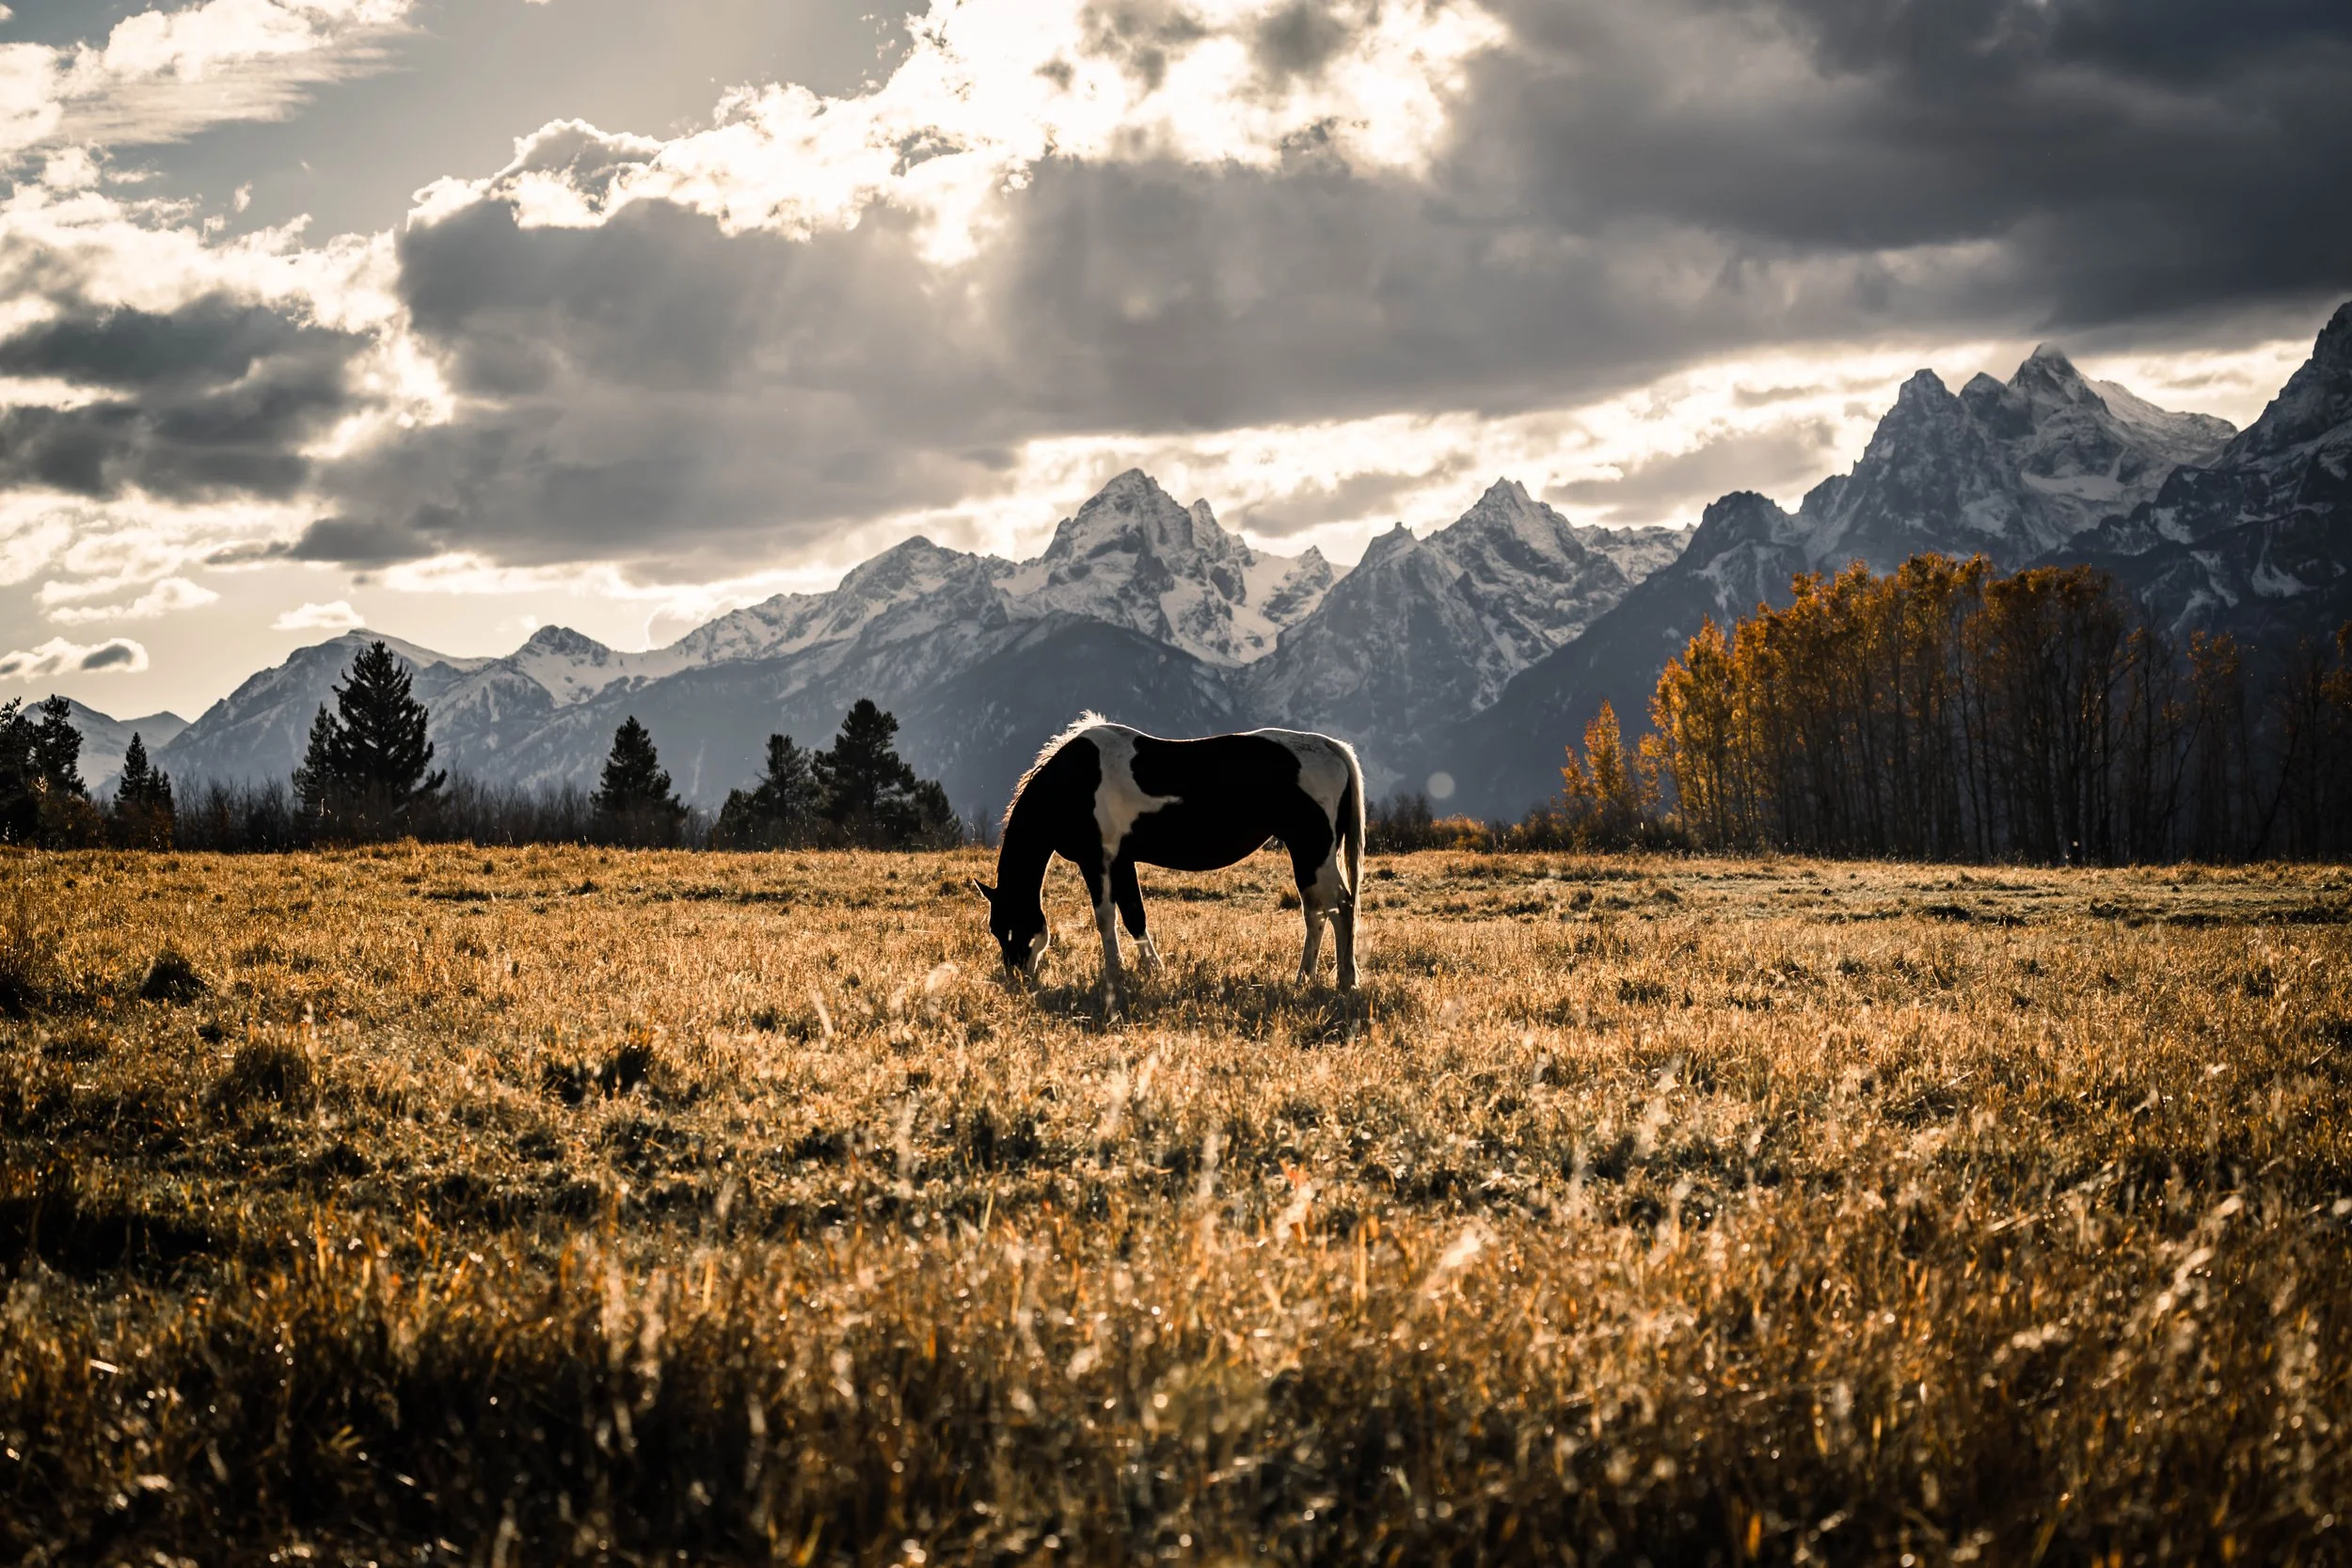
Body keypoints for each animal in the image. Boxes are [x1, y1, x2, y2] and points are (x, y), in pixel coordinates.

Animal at [973, 713, 1366, 997]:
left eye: (1006, 926)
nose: (1017, 978)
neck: (1074, 781)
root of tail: (1330, 746)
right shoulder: (1121, 860)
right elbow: (1134, 915)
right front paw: (1152, 971)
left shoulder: (1096, 860)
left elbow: (1105, 917)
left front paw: (1114, 975)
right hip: (1306, 854)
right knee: (1316, 912)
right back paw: (1304, 979)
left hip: (1315, 851)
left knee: (1341, 906)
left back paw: (1346, 980)